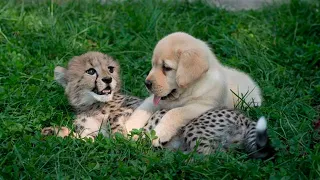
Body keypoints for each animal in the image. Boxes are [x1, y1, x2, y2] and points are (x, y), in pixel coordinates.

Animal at [124, 32, 262, 146]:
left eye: (166, 68)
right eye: (153, 65)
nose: (147, 83)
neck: (188, 90)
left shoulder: (203, 106)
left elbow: (175, 112)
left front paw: (159, 133)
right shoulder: (155, 99)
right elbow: (142, 109)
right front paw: (129, 128)